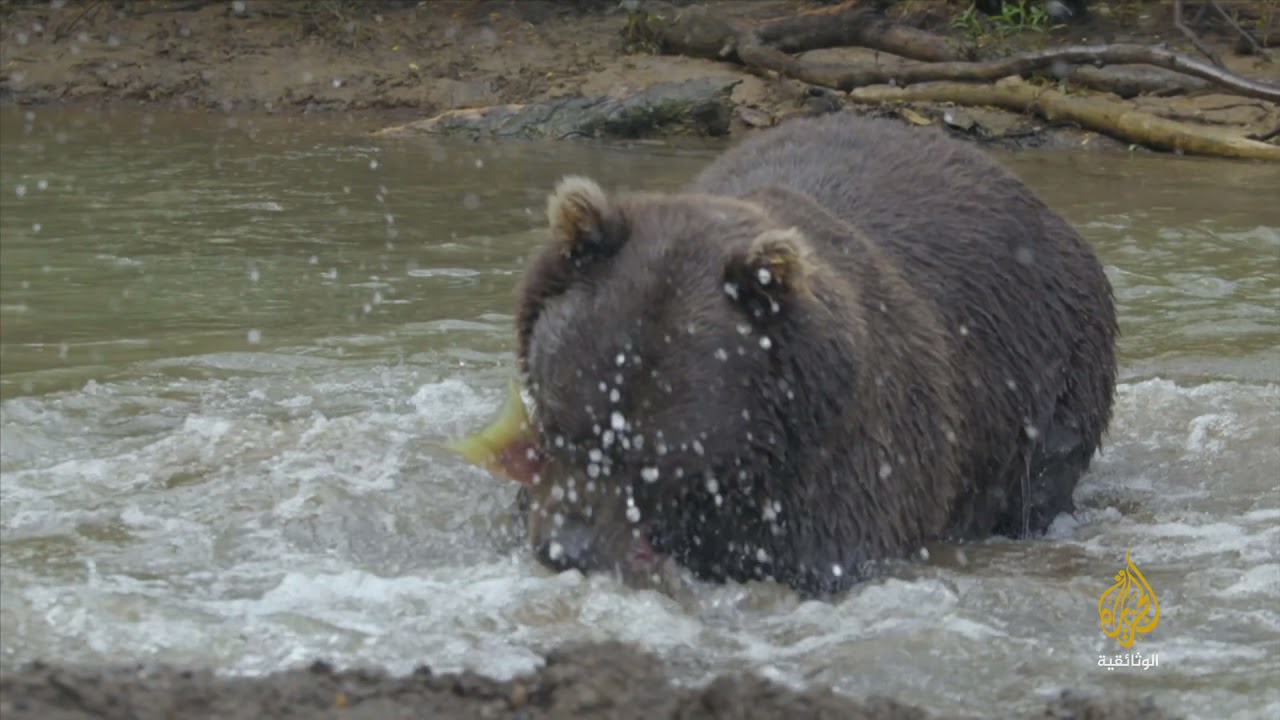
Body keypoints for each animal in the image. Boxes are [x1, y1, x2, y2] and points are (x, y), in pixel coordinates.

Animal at [455, 110, 1116, 594]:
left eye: (660, 461)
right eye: (563, 427)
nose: (567, 548)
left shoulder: (845, 464)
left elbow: (815, 556)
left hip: (1049, 377)